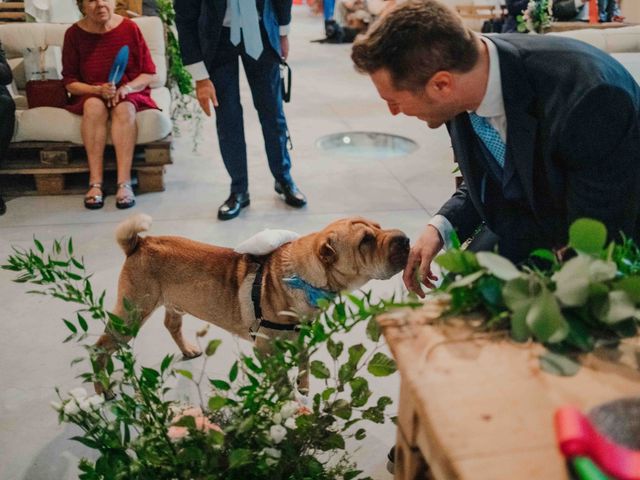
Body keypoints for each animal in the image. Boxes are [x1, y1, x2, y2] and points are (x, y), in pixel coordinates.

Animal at [96, 214, 410, 394]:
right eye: (365, 240)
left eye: (378, 227)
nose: (406, 239)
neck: (303, 278)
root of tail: (140, 243)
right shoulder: (266, 349)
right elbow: (281, 382)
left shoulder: (302, 337)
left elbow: (304, 363)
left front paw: (303, 387)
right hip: (131, 315)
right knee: (101, 347)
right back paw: (103, 390)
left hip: (174, 303)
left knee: (171, 323)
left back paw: (187, 349)